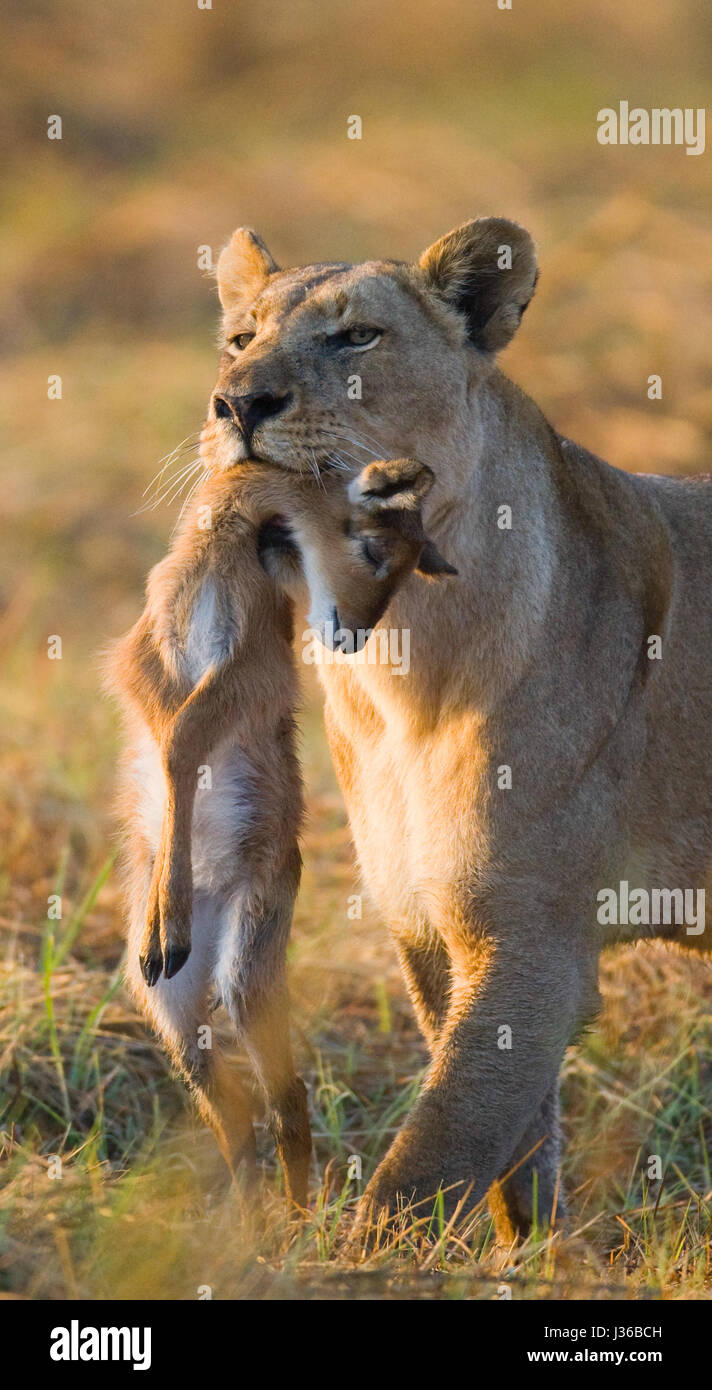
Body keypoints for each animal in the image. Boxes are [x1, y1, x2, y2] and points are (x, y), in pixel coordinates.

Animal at [106, 442, 456, 1206]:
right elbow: (171, 741)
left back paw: (298, 1220)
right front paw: (161, 927)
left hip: (246, 971)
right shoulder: (143, 658)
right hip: (174, 1010)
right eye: (372, 543)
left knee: (288, 1099)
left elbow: (180, 743)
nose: (351, 634)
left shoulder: (246, 669)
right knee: (237, 1117)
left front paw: (165, 925)